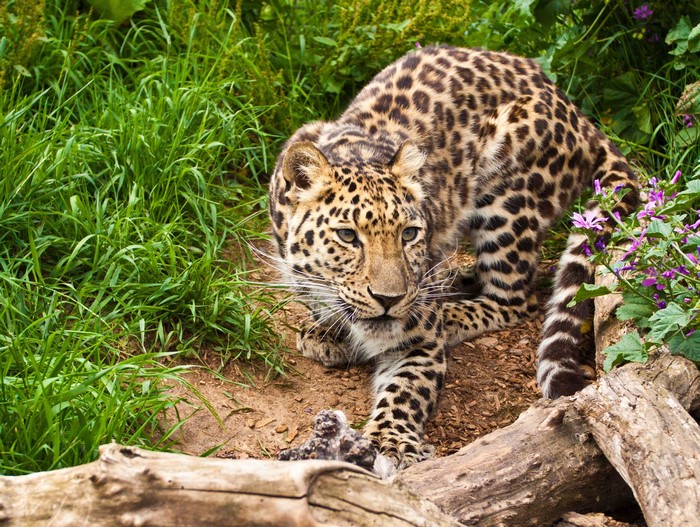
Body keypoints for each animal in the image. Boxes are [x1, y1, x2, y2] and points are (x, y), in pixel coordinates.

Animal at [268, 45, 639, 471]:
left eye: (409, 234)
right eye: (348, 236)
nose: (390, 299)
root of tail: (577, 113)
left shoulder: (420, 343)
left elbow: (404, 391)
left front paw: (390, 441)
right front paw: (325, 330)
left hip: (507, 200)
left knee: (515, 299)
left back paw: (452, 311)